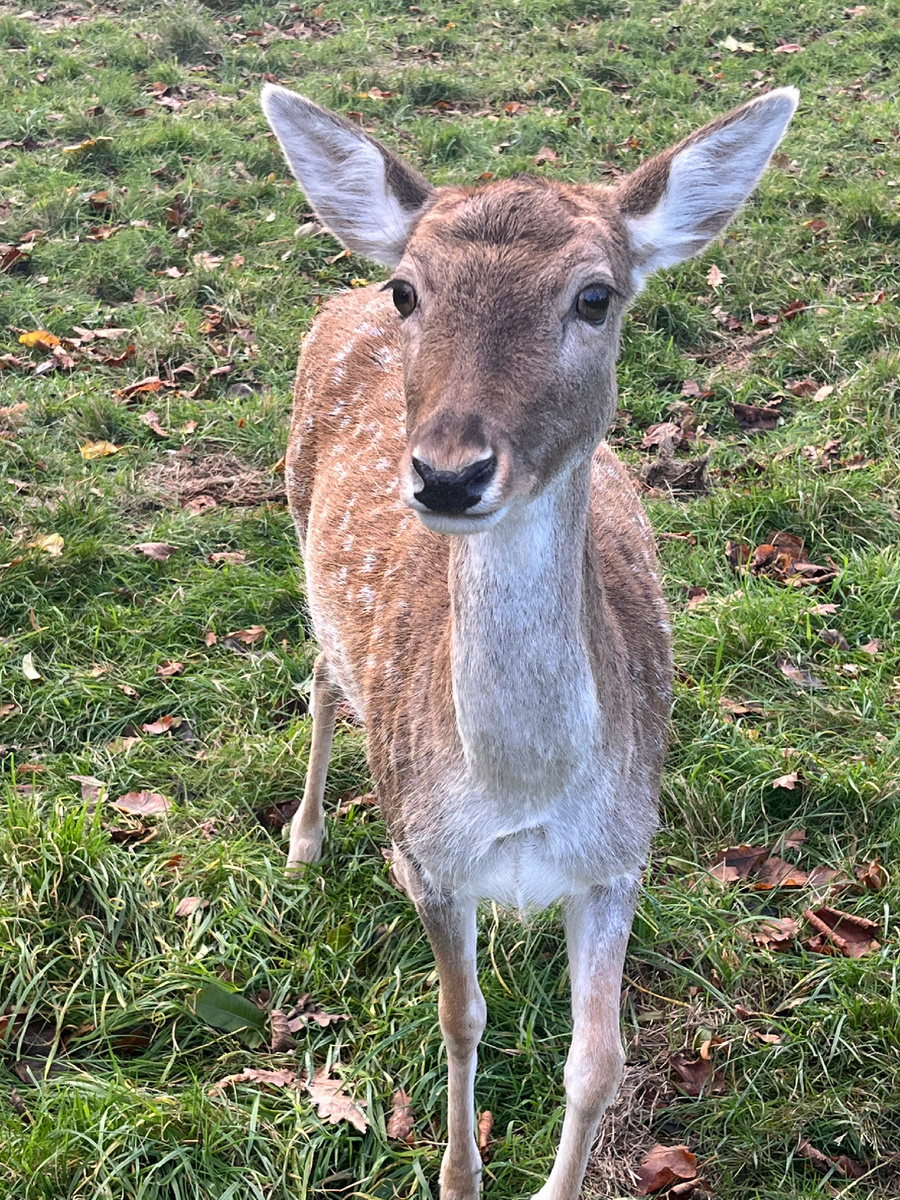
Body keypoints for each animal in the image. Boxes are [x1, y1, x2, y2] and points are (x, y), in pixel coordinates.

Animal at [264, 84, 801, 1200]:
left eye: (595, 297)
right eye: (412, 291)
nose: (448, 473)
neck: (520, 792)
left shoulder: (620, 855)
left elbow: (599, 1061)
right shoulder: (430, 855)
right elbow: (459, 1021)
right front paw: (457, 1175)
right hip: (294, 526)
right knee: (323, 678)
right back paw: (303, 841)